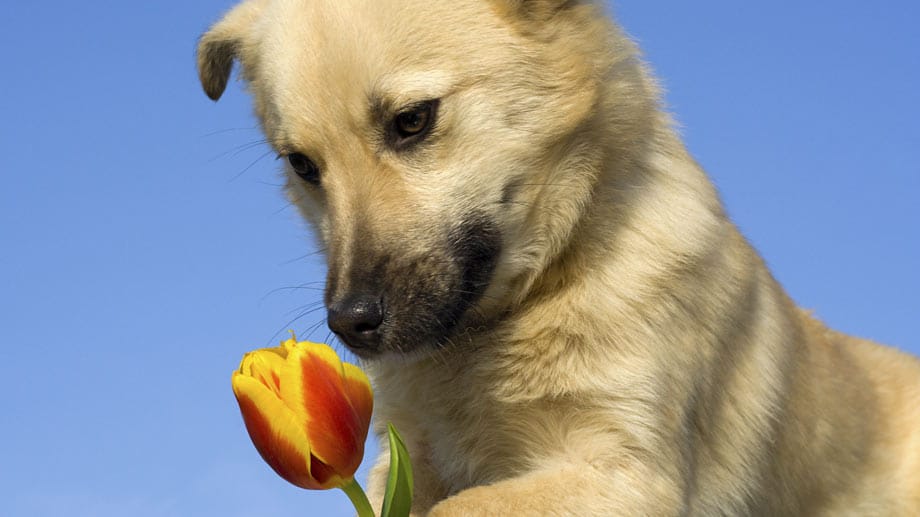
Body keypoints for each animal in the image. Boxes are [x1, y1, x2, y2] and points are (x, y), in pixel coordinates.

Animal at [198, 0, 916, 512]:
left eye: (413, 120)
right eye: (302, 165)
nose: (351, 323)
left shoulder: (624, 471)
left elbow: (464, 508)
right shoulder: (402, 462)